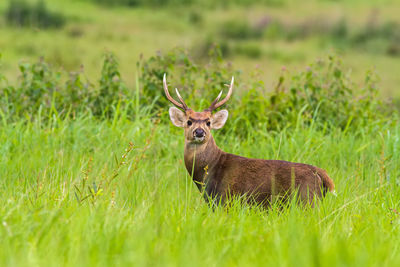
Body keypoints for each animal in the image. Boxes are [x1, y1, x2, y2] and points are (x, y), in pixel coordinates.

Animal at [162, 74, 334, 208]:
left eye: (208, 122)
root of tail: (321, 174)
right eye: (189, 121)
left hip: (307, 200)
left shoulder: (225, 200)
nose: (199, 132)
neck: (210, 169)